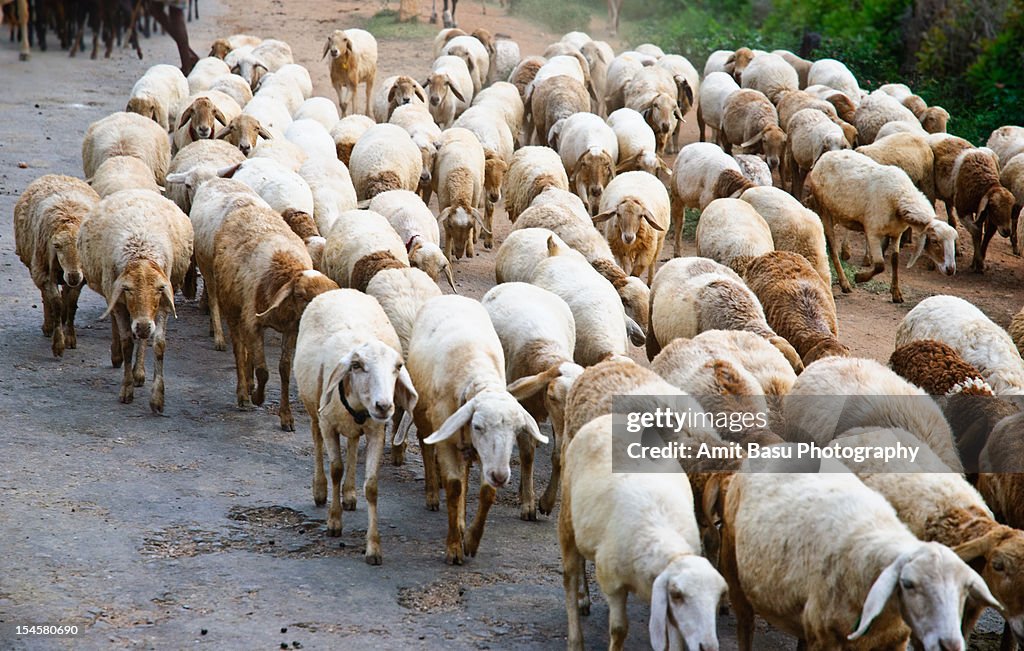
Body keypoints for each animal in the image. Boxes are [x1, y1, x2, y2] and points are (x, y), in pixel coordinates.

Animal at [14, 175, 99, 358]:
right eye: (57, 246)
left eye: (82, 245)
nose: (73, 276)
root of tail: (57, 175)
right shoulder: (46, 274)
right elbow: (56, 304)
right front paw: (58, 344)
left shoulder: (81, 279)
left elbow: (71, 304)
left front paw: (70, 337)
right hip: (37, 267)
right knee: (46, 297)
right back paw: (48, 325)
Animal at [77, 188, 193, 411]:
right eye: (128, 289)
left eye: (159, 289)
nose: (143, 325)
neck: (141, 253)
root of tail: (135, 189)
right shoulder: (120, 299)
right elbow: (126, 343)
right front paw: (126, 389)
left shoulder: (163, 304)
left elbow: (159, 344)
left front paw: (157, 397)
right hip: (112, 294)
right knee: (116, 322)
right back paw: (118, 356)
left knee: (141, 338)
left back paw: (139, 371)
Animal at [292, 290, 415, 565]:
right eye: (357, 366)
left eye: (398, 367)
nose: (384, 406)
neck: (358, 406)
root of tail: (341, 290)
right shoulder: (328, 424)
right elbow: (335, 468)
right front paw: (334, 521)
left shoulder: (376, 431)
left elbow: (371, 485)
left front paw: (373, 547)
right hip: (312, 408)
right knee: (317, 442)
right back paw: (320, 489)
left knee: (352, 444)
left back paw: (348, 493)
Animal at [403, 294, 544, 565]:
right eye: (478, 426)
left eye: (516, 431)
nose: (501, 475)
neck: (476, 373)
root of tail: (451, 295)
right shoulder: (447, 439)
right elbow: (454, 486)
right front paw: (454, 548)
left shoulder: (489, 457)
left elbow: (486, 493)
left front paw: (470, 540)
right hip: (425, 417)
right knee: (426, 447)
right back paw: (432, 495)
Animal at [561, 411, 729, 651]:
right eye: (678, 595)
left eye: (718, 597)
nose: (707, 647)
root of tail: (610, 416)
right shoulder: (612, 582)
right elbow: (619, 629)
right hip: (567, 518)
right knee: (570, 579)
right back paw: (576, 639)